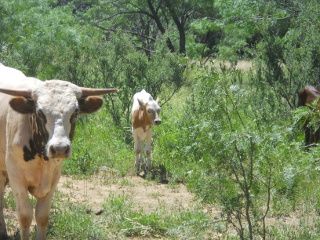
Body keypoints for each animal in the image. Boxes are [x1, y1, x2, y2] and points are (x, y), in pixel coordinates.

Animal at [0, 63, 117, 240]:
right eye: (40, 112)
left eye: (75, 112)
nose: (60, 148)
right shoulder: (16, 177)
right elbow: (25, 216)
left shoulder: (54, 177)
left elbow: (42, 216)